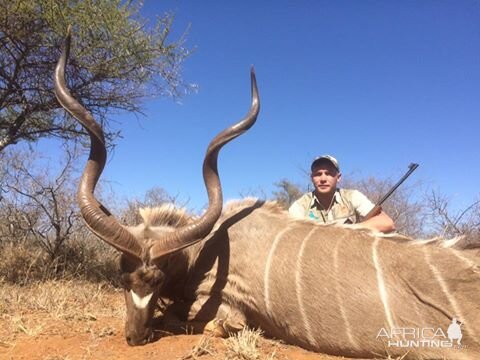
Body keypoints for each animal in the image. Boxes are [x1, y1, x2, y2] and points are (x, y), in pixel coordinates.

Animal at [53, 32, 480, 358]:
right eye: (123, 277)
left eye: (156, 278)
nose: (135, 336)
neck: (208, 246)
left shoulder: (225, 306)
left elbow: (199, 320)